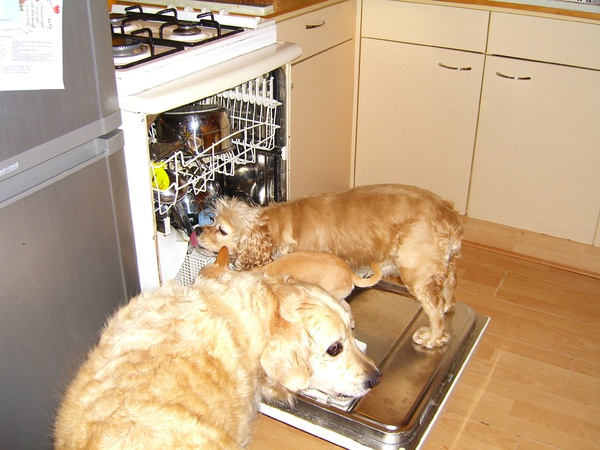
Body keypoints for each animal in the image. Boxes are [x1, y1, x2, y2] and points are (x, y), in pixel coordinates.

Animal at [198, 184, 463, 348]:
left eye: (222, 230)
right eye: (212, 220)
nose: (197, 230)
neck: (275, 225)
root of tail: (449, 214)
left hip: (416, 270)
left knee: (434, 308)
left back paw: (432, 337)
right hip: (442, 265)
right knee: (449, 285)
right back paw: (449, 307)